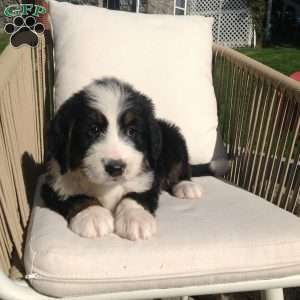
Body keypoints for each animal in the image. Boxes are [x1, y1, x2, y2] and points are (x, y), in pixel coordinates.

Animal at [42, 78, 202, 241]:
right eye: (94, 130)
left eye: (131, 131)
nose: (115, 168)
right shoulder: (52, 185)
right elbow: (76, 197)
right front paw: (93, 215)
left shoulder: (149, 178)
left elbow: (134, 195)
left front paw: (136, 218)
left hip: (174, 139)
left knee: (181, 166)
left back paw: (186, 186)